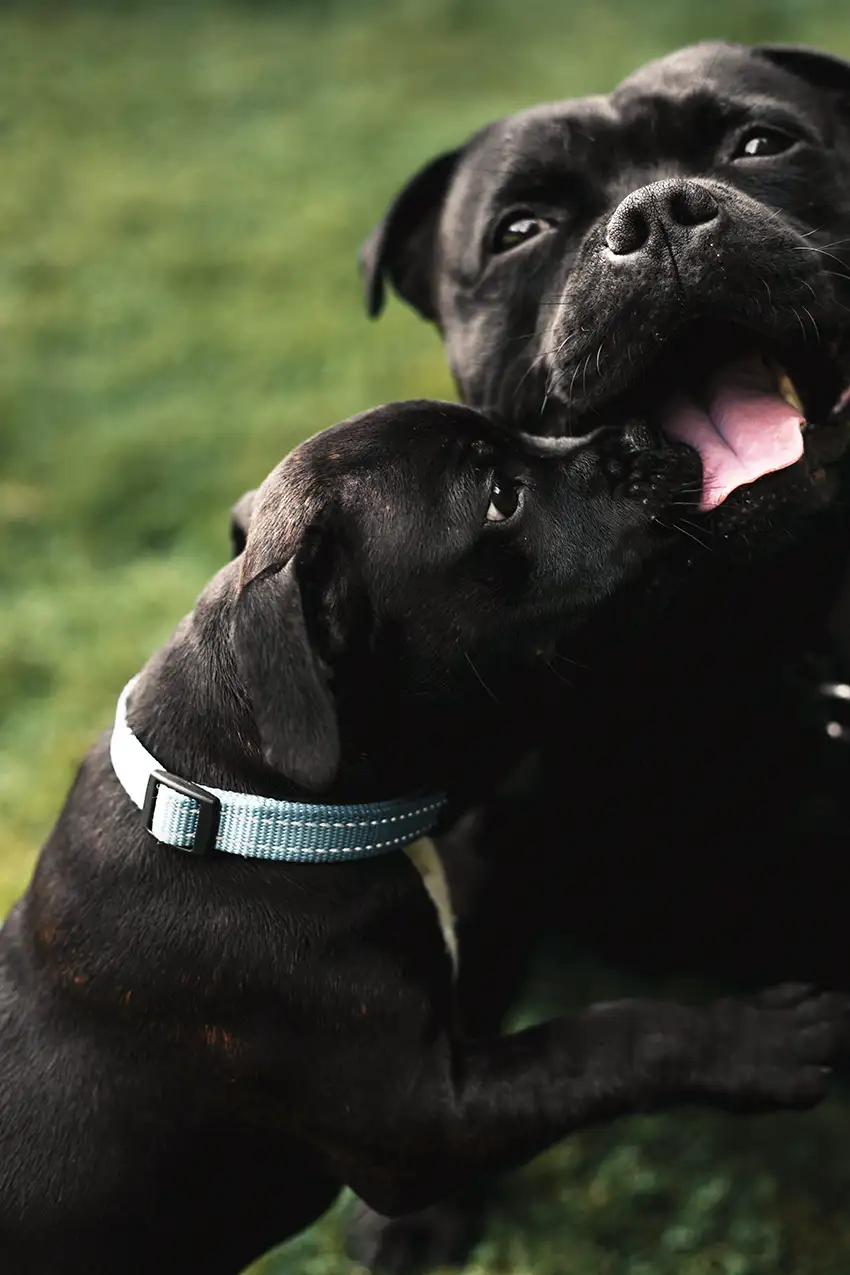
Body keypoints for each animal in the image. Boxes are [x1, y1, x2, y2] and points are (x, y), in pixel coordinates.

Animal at [3, 400, 846, 1275]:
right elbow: (598, 1042)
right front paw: (758, 1039)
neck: (233, 801)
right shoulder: (422, 1125)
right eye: (501, 499)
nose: (643, 430)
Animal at [356, 42, 850, 1275]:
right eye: (522, 229)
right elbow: (461, 1008)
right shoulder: (491, 842)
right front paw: (423, 1210)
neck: (715, 625)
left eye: (760, 144)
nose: (660, 214)